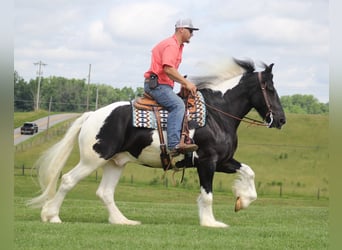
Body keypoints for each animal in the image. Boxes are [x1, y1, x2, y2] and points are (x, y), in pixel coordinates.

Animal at [27, 59, 286, 229]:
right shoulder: (207, 162)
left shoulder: (223, 161)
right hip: (93, 159)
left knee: (105, 192)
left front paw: (242, 201)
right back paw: (52, 216)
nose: (281, 119)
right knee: (68, 180)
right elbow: (208, 195)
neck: (216, 114)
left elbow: (249, 172)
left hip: (115, 163)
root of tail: (92, 115)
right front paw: (210, 222)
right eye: (270, 88)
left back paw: (123, 221)